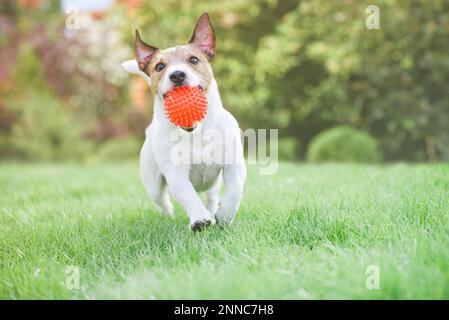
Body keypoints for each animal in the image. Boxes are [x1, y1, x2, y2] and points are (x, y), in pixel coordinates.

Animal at [121, 11, 245, 230]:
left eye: (194, 59)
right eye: (160, 66)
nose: (177, 74)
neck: (196, 131)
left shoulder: (234, 165)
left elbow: (235, 190)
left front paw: (225, 214)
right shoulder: (176, 174)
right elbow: (188, 196)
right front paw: (200, 219)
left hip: (214, 183)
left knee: (212, 196)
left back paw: (214, 210)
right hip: (153, 183)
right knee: (163, 202)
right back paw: (168, 218)